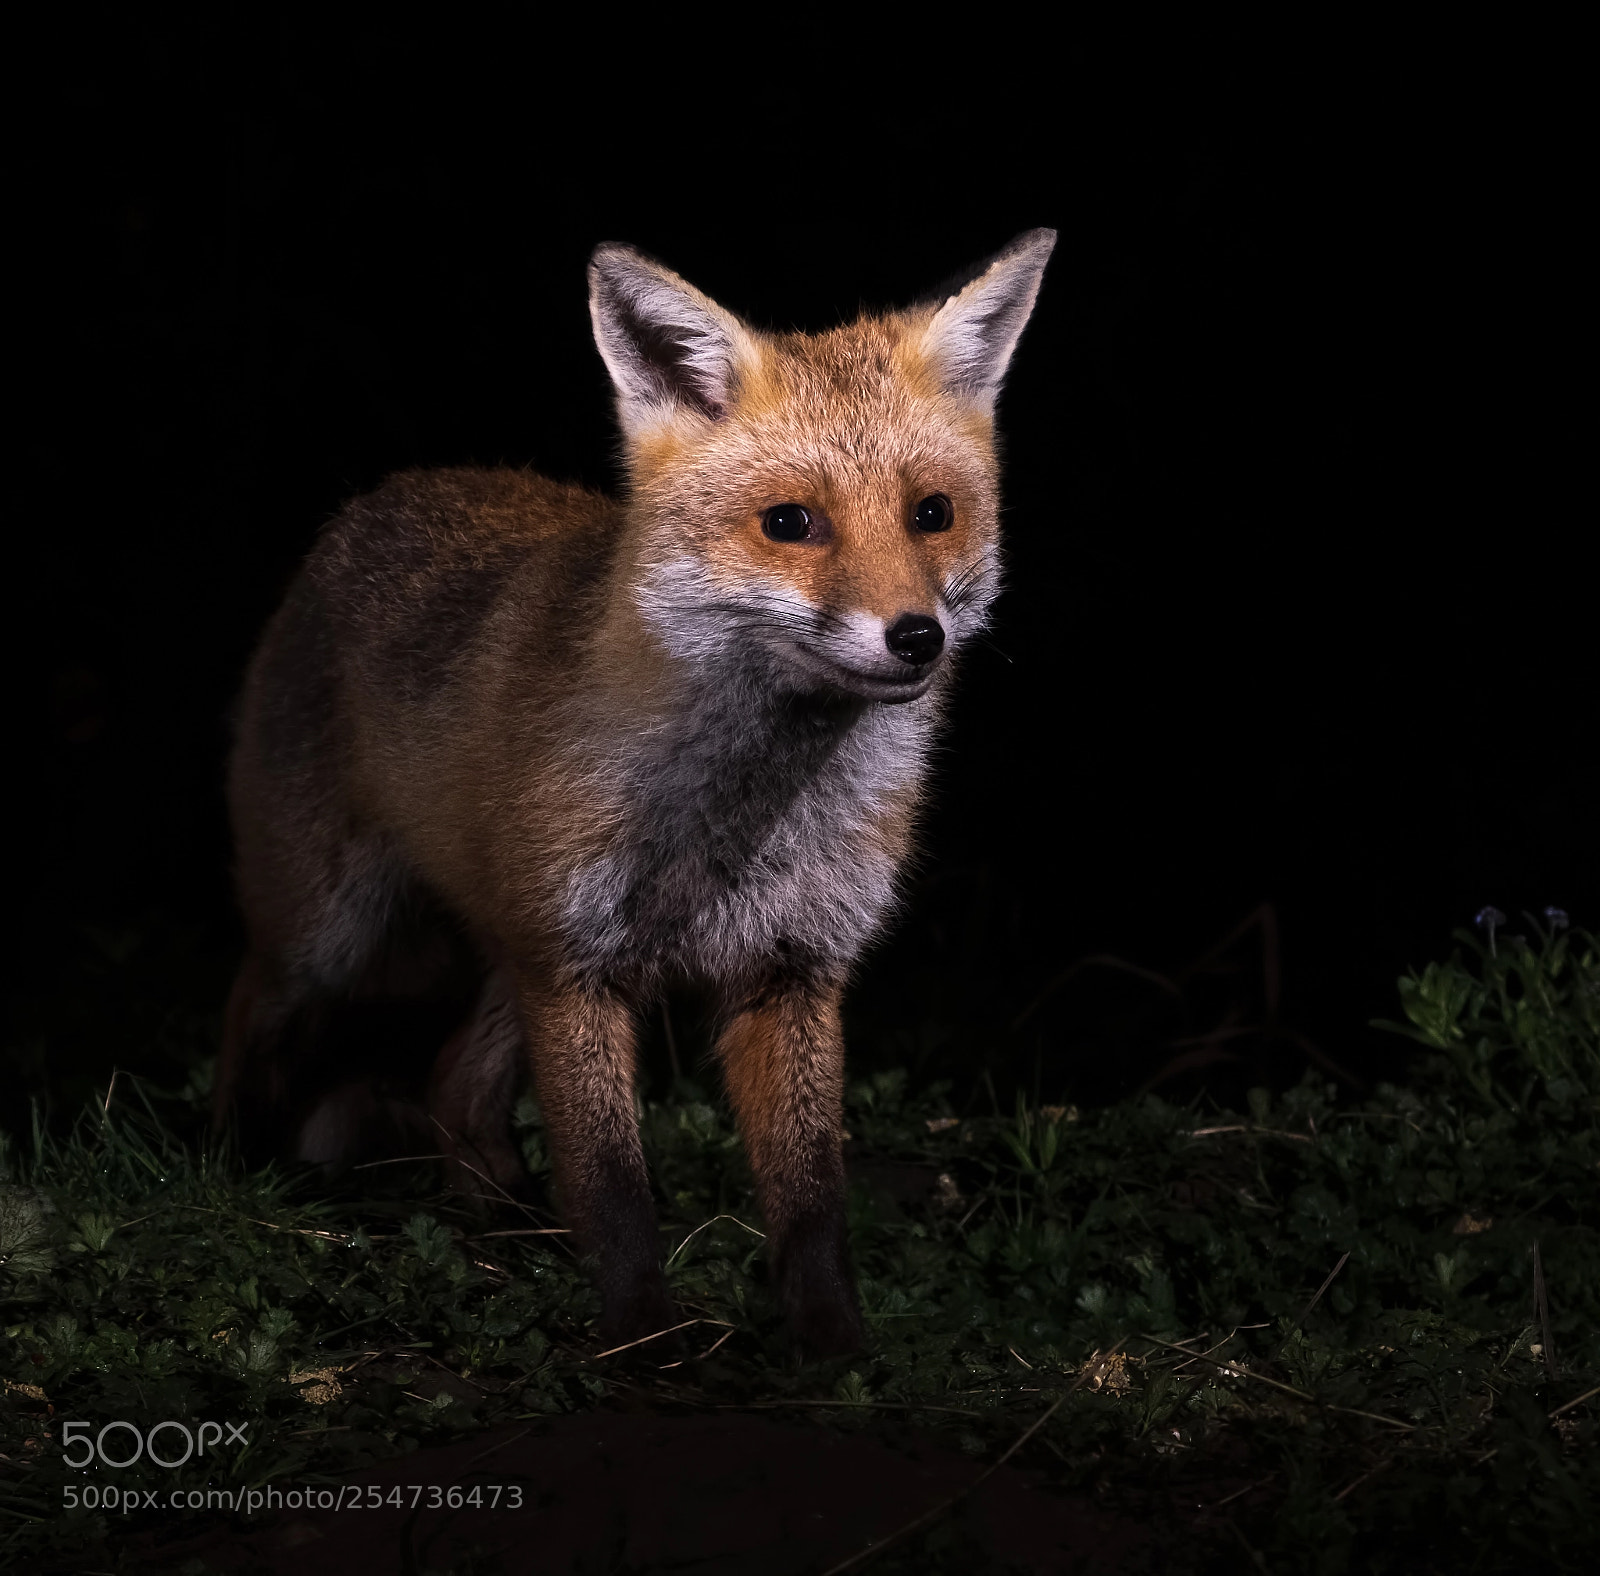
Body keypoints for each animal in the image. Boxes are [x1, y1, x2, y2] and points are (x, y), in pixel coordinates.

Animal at [215, 229, 1056, 1355]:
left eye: (933, 515)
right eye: (790, 522)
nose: (916, 636)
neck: (739, 815)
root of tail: (381, 498)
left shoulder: (789, 970)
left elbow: (811, 1198)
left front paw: (832, 1343)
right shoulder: (576, 970)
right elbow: (614, 1185)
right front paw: (643, 1342)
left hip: (506, 949)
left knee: (453, 1082)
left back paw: (504, 1226)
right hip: (332, 933)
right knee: (250, 1011)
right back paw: (228, 1175)